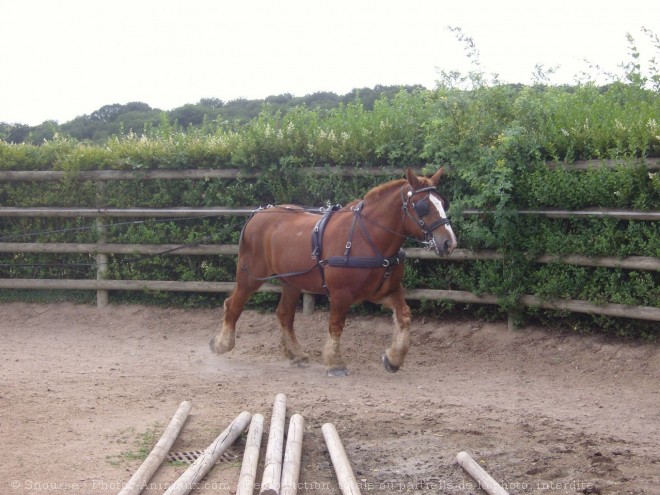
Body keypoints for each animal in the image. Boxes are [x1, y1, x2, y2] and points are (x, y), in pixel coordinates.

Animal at [209, 168, 456, 376]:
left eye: (443, 203)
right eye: (423, 206)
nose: (449, 242)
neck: (368, 238)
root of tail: (258, 214)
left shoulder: (386, 291)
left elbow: (404, 316)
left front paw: (393, 358)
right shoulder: (340, 294)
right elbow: (336, 326)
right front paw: (335, 363)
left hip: (291, 282)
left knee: (284, 315)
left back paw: (296, 354)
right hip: (249, 276)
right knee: (233, 305)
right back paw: (222, 344)